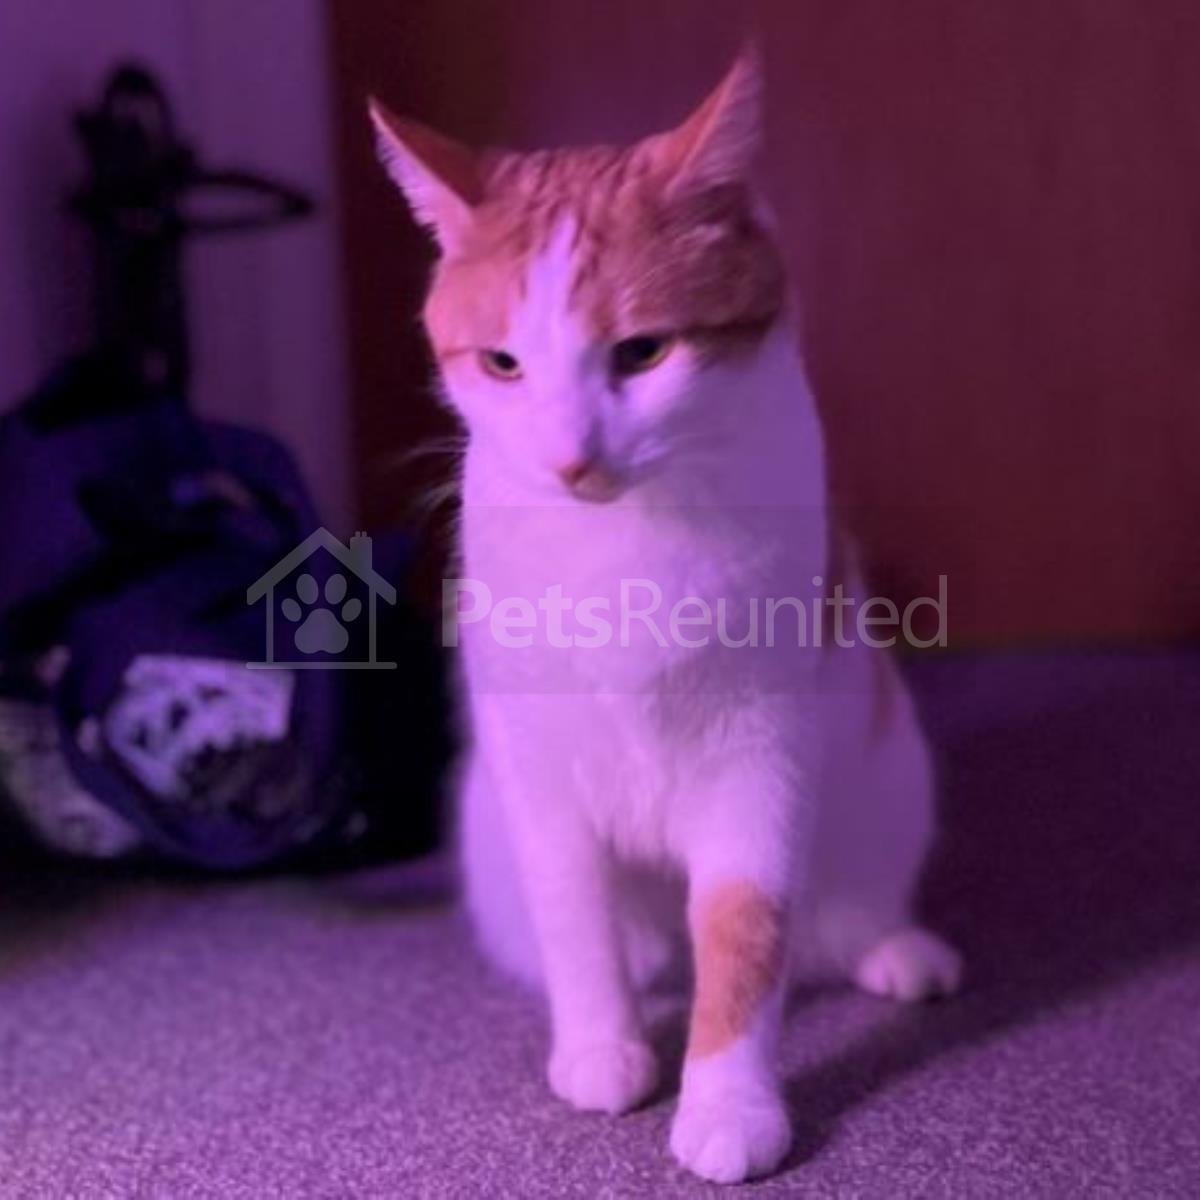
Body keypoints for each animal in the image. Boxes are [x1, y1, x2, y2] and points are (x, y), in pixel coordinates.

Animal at [371, 49, 962, 1185]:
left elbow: (746, 932)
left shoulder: (759, 757)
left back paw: (895, 948)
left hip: (886, 769)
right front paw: (603, 1049)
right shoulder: (540, 765)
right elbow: (574, 915)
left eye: (641, 353)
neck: (625, 545)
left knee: (838, 915)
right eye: (503, 364)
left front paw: (729, 1103)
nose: (569, 459)